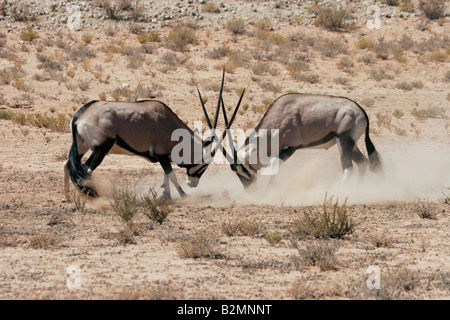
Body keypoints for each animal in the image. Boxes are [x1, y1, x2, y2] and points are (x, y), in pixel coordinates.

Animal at [63, 72, 244, 200]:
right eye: (205, 163)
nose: (192, 183)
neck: (168, 123)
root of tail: (80, 115)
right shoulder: (162, 155)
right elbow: (171, 175)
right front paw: (183, 195)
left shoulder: (163, 156)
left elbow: (165, 175)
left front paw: (167, 196)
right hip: (101, 148)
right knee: (86, 170)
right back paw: (95, 196)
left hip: (82, 146)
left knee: (68, 164)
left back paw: (68, 198)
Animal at [220, 92, 382, 188]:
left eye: (243, 168)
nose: (250, 189)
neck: (279, 116)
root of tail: (361, 111)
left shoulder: (291, 147)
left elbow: (273, 165)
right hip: (352, 144)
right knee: (362, 162)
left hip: (343, 141)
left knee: (348, 169)